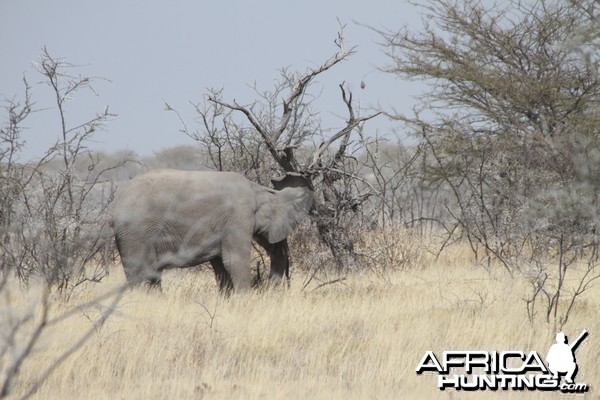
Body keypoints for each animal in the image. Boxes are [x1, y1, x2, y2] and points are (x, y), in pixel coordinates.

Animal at [110, 167, 314, 292]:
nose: (272, 287)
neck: (259, 190)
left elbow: (221, 266)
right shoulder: (237, 217)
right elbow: (234, 260)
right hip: (135, 233)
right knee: (139, 273)